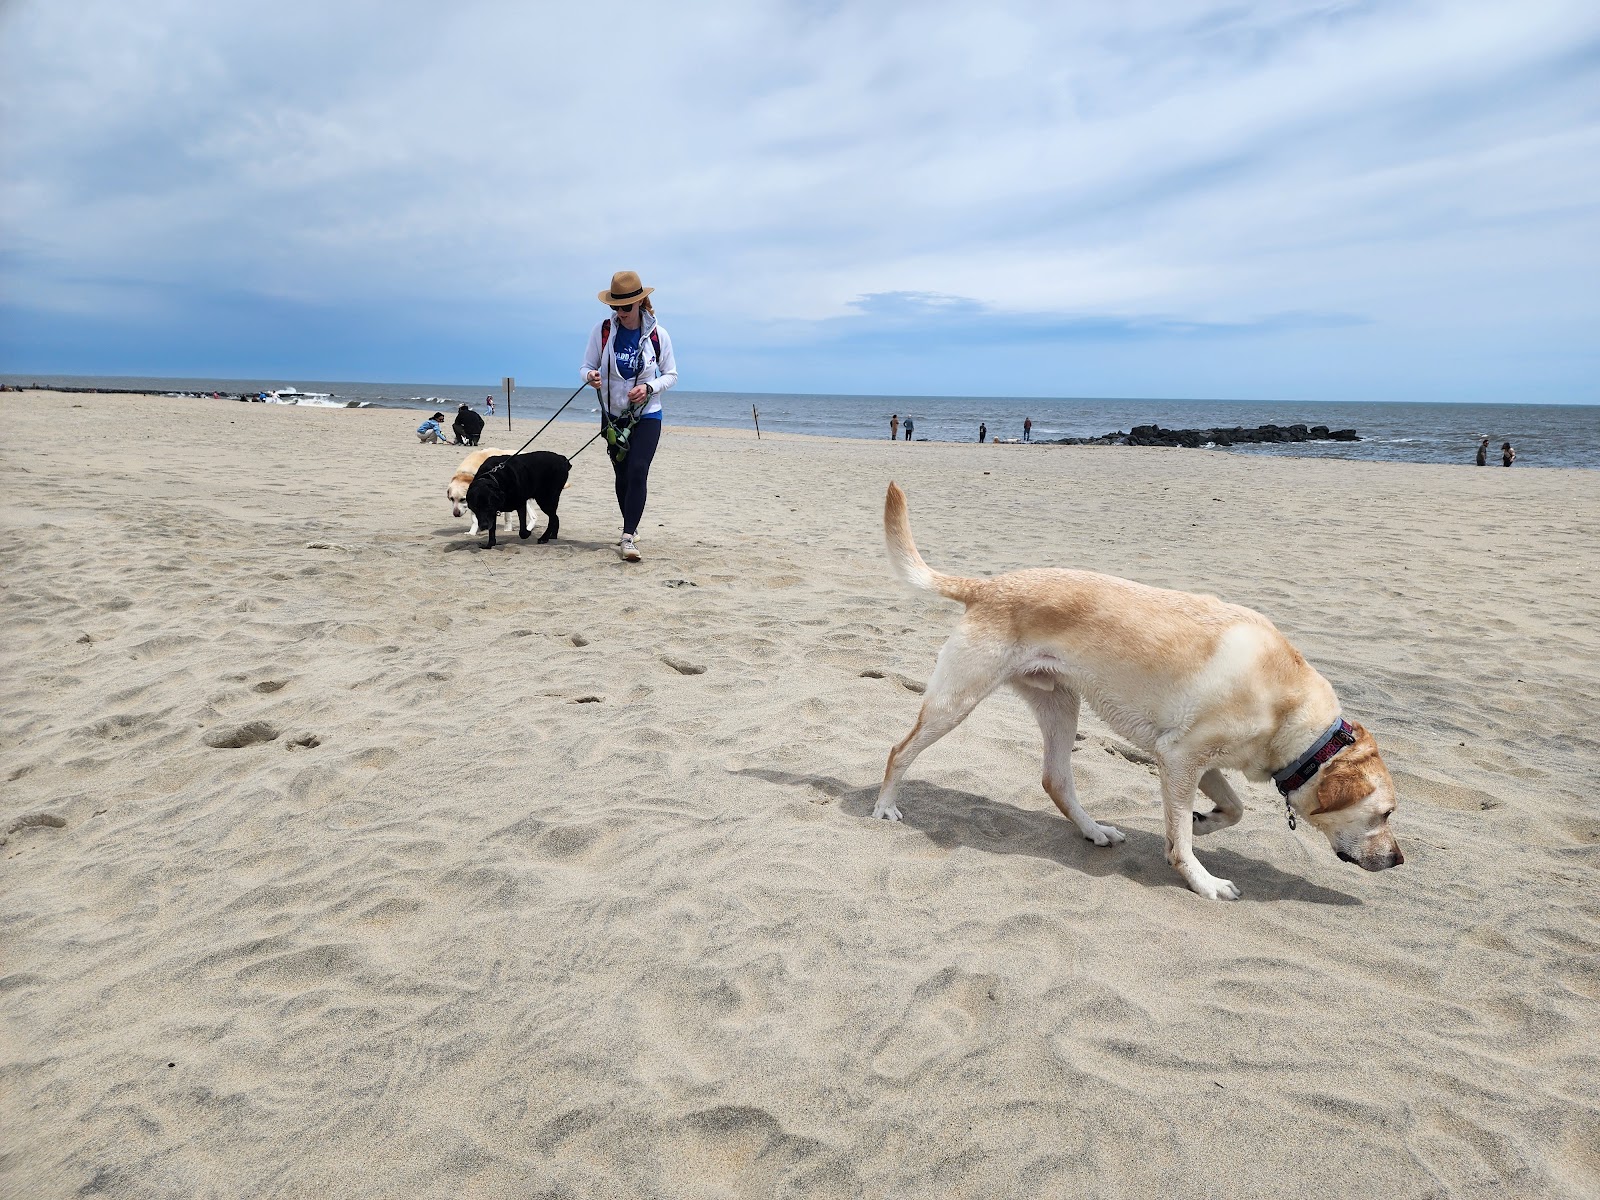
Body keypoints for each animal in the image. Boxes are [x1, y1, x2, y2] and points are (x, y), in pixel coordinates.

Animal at [876, 483, 1401, 902]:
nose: (1398, 860)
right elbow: (1185, 840)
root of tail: (987, 586)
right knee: (899, 750)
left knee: (1056, 780)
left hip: (1060, 703)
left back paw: (1094, 831)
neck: (1291, 712)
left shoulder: (1193, 760)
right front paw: (1202, 880)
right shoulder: (1180, 756)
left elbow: (1231, 809)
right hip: (956, 701)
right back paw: (884, 806)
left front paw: (1202, 822)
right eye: (1385, 814)